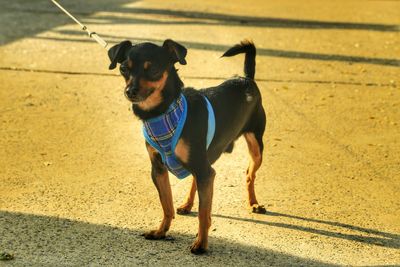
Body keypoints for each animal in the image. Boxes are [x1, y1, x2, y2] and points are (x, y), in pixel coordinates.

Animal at [108, 39, 268, 255]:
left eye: (154, 70)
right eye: (124, 68)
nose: (130, 91)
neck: (162, 113)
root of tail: (246, 78)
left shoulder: (204, 171)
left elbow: (204, 213)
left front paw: (201, 243)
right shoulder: (158, 170)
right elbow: (166, 204)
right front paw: (161, 231)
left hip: (255, 147)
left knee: (249, 174)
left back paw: (254, 203)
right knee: (196, 180)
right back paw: (187, 204)